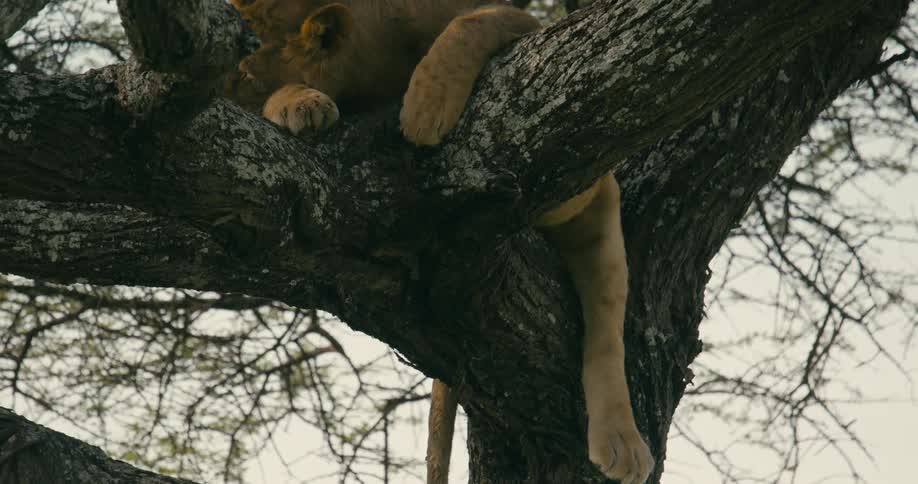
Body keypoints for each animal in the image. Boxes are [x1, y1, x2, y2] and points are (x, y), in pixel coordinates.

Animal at [224, 1, 654, 483]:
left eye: (241, 69)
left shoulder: (527, 29)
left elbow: (476, 22)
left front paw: (426, 106)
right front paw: (299, 101)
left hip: (600, 214)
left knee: (607, 330)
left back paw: (622, 440)